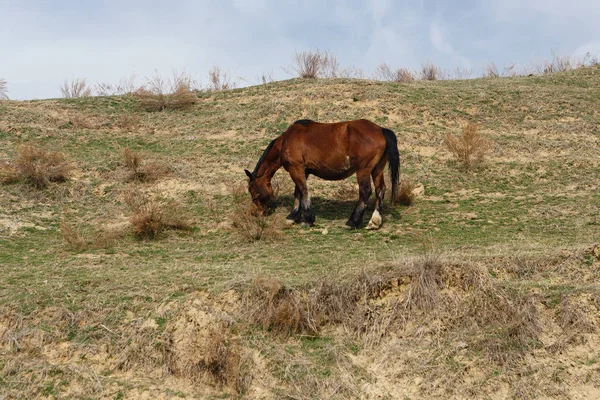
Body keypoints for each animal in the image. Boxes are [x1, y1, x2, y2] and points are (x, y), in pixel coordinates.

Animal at [244, 119, 398, 230]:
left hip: (363, 170)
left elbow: (303, 191)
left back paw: (352, 222)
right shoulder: (303, 171)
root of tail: (381, 130)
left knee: (365, 191)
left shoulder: (296, 169)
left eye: (253, 191)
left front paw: (307, 219)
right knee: (380, 190)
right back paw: (374, 221)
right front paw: (293, 217)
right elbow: (298, 193)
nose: (258, 212)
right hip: (377, 170)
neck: (286, 140)